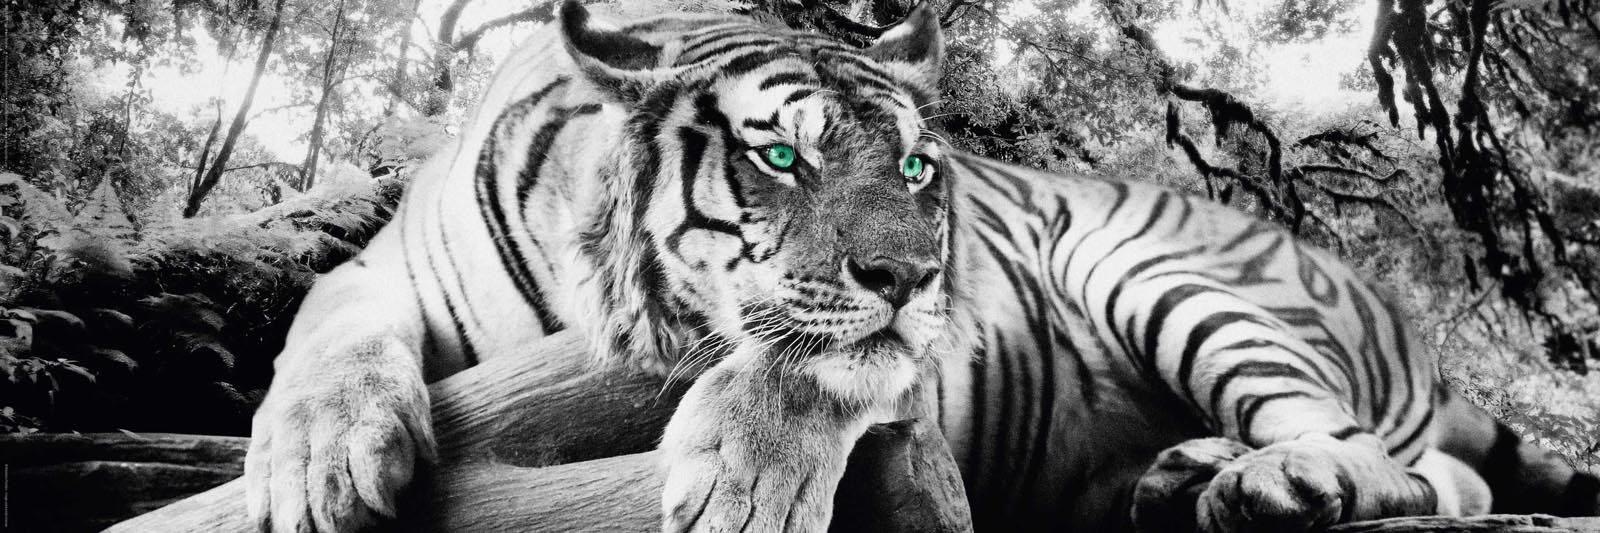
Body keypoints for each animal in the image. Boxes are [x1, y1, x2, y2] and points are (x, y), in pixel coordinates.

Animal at [242, 1, 1600, 532]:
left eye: (911, 166)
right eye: (779, 154)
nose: (910, 274)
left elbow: (812, 362)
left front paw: (741, 479)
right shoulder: (383, 268)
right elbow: (325, 325)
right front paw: (316, 465)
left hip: (1162, 272)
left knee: (1398, 462)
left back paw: (1277, 478)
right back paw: (1179, 472)